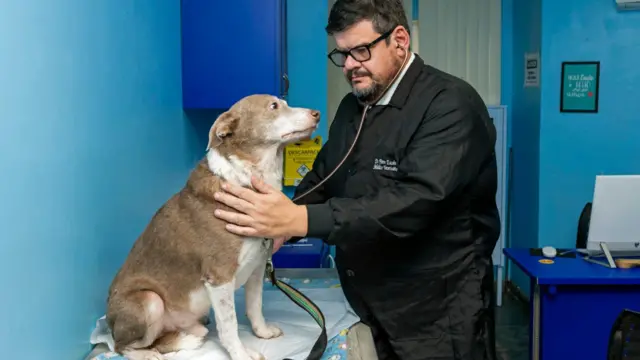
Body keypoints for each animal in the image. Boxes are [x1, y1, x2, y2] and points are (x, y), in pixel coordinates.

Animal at [107, 95, 322, 360]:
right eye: (274, 106)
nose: (317, 113)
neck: (248, 178)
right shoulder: (219, 278)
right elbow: (229, 326)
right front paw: (241, 354)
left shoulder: (257, 267)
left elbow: (255, 306)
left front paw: (262, 333)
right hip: (149, 300)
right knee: (122, 345)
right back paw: (147, 354)